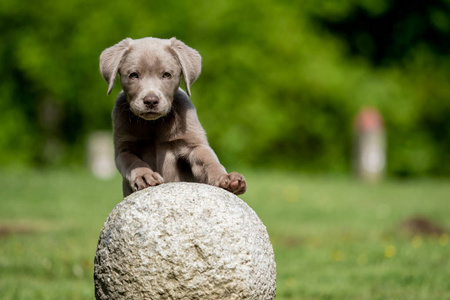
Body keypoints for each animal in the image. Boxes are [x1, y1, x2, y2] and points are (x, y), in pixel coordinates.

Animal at [99, 37, 246, 197]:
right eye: (133, 75)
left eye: (166, 74)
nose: (151, 101)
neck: (153, 124)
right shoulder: (124, 150)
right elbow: (134, 162)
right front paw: (144, 176)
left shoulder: (193, 144)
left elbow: (208, 161)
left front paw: (227, 178)